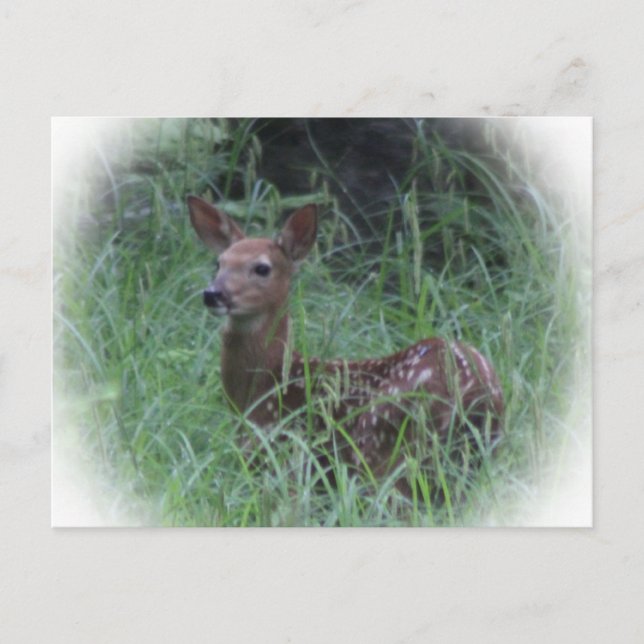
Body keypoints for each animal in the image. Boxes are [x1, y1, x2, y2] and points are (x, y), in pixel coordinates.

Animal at [187, 195, 504, 487]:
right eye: (219, 263)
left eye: (262, 268)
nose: (212, 294)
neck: (268, 383)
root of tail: (476, 392)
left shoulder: (282, 452)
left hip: (384, 446)